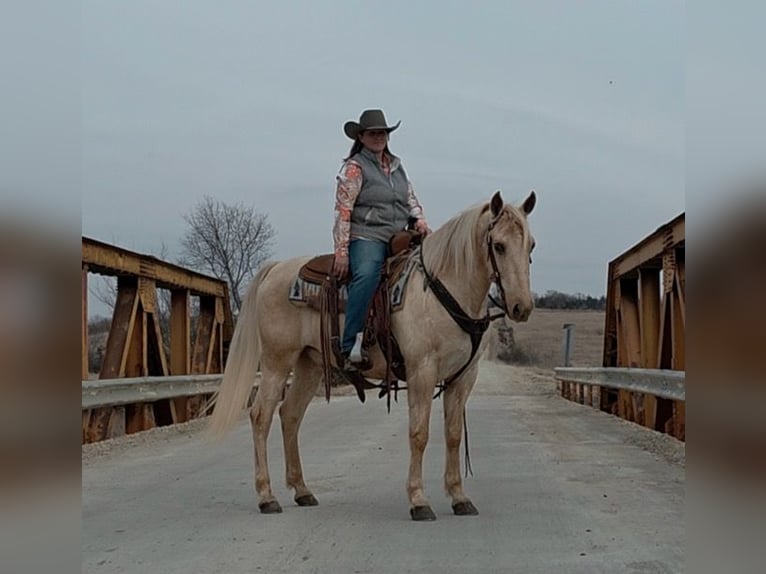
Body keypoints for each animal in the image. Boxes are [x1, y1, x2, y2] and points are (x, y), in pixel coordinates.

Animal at [207, 192, 536, 520]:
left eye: (531, 245)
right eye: (498, 245)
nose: (522, 307)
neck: (442, 290)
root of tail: (275, 269)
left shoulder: (463, 377)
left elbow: (453, 434)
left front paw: (459, 497)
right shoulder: (422, 371)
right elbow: (419, 434)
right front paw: (418, 500)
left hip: (309, 365)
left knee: (290, 415)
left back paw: (302, 490)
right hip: (277, 362)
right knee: (261, 416)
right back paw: (266, 496)